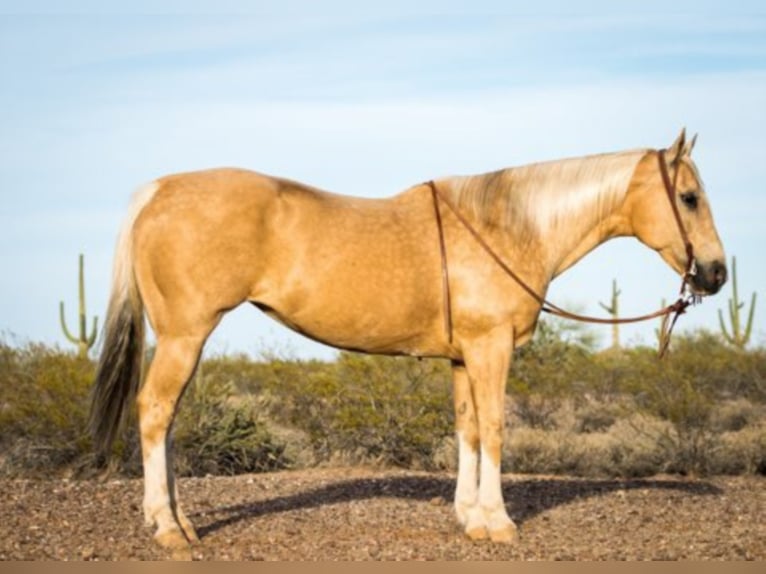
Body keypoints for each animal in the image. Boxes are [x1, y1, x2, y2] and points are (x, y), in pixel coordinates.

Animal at [90, 128, 728, 552]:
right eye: (690, 197)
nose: (717, 274)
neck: (510, 226)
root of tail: (158, 191)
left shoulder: (464, 357)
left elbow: (469, 430)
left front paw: (469, 517)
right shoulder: (491, 349)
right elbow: (496, 428)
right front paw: (498, 523)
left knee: (168, 417)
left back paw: (179, 520)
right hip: (185, 335)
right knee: (155, 411)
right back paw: (168, 528)